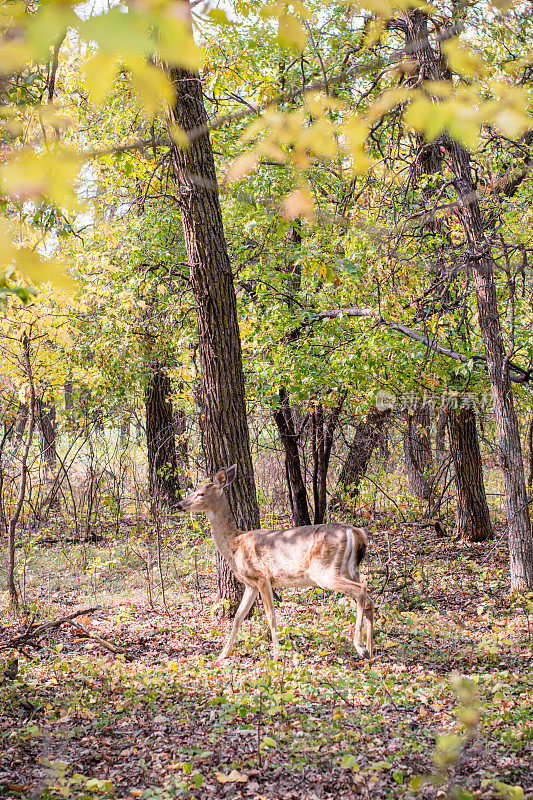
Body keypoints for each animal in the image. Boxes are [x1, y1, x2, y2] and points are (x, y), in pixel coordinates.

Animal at [177, 462, 372, 664]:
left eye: (200, 493)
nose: (178, 505)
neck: (235, 544)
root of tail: (356, 532)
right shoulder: (251, 584)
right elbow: (238, 616)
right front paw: (223, 654)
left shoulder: (262, 576)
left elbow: (271, 616)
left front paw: (276, 656)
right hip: (350, 568)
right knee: (369, 599)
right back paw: (370, 653)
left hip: (324, 570)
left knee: (361, 590)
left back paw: (360, 647)